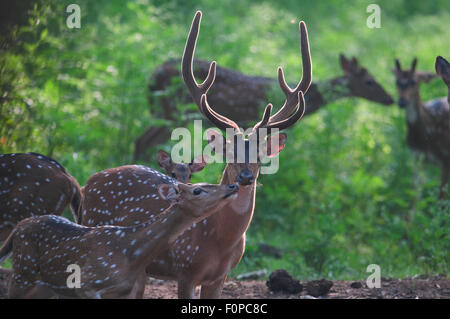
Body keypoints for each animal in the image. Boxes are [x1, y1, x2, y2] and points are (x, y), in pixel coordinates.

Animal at [0, 182, 237, 300]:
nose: (232, 186)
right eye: (197, 190)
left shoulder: (131, 291)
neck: (131, 254)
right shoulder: (87, 285)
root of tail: (19, 227)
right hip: (21, 273)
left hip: (47, 286)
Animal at [81, 10, 312, 300]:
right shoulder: (186, 269)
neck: (218, 240)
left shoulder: (220, 277)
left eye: (261, 157)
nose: (246, 177)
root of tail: (87, 183)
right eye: (230, 153)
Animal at [392, 57, 448, 198]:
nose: (402, 101)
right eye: (397, 81)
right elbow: (415, 194)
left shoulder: (446, 159)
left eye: (414, 82)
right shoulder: (417, 157)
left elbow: (441, 197)